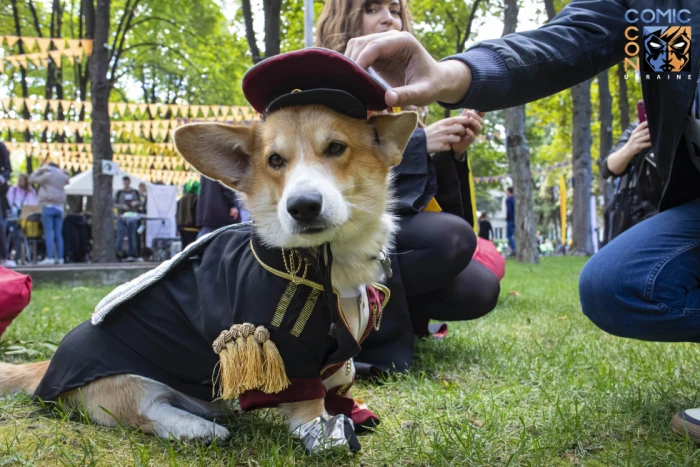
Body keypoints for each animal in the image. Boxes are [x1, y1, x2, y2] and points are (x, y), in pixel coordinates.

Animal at [0, 103, 416, 454]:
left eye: (335, 147)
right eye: (275, 160)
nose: (302, 207)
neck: (328, 263)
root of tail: (48, 366)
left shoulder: (339, 356)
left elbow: (338, 379)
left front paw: (350, 411)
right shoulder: (288, 350)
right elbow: (308, 398)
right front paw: (324, 432)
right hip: (127, 379)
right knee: (142, 410)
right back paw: (197, 428)